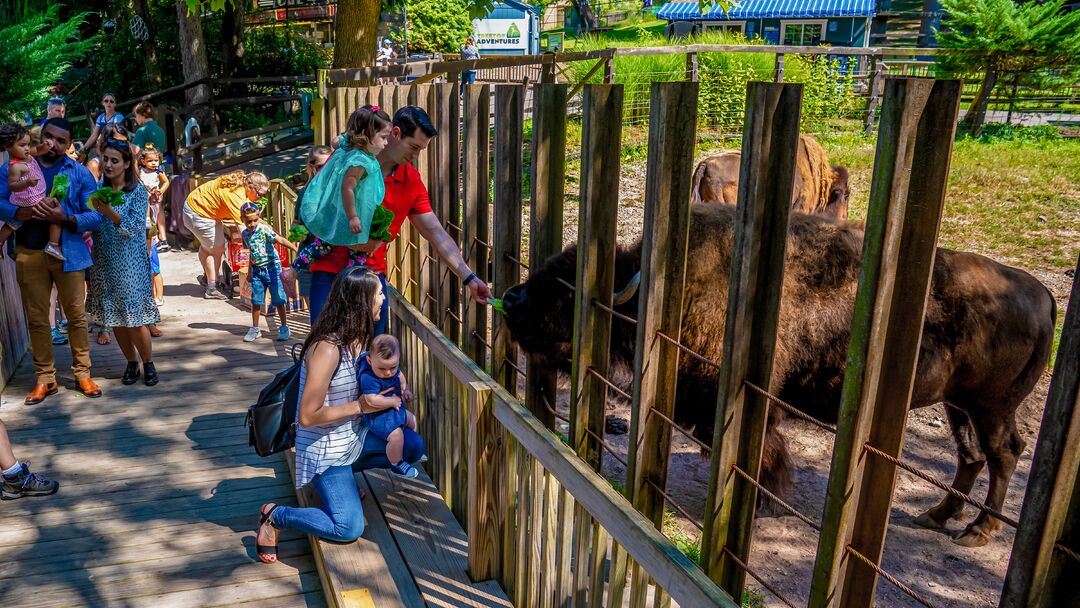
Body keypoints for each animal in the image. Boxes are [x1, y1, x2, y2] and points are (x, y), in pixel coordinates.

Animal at [498, 203, 1054, 546]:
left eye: (567, 290)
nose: (511, 298)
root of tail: (1042, 294)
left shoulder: (752, 405)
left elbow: (763, 453)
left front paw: (766, 504)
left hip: (990, 405)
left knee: (1004, 454)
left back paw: (976, 531)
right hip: (958, 404)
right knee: (971, 456)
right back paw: (936, 516)